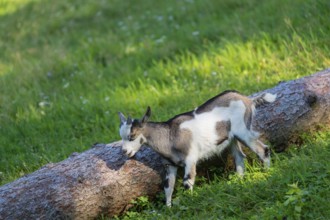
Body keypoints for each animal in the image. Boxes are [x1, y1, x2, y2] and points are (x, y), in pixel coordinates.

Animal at [118, 89, 276, 206]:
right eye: (121, 136)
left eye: (132, 136)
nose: (125, 151)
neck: (169, 135)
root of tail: (247, 99)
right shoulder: (170, 164)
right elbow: (168, 187)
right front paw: (169, 209)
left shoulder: (190, 159)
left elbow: (187, 182)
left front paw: (191, 202)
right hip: (232, 139)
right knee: (239, 157)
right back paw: (239, 182)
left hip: (243, 131)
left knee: (263, 150)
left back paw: (267, 175)